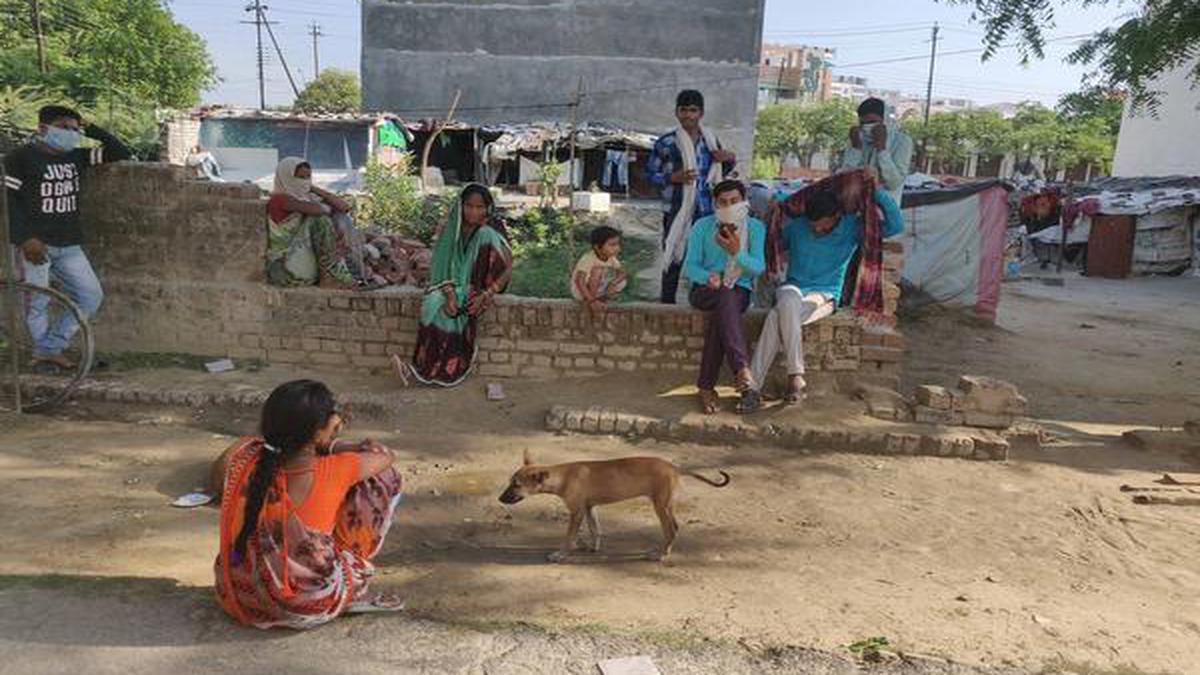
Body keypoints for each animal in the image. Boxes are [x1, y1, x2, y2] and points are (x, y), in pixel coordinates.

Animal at [499, 451, 729, 562]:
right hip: (666, 504)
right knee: (675, 527)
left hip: (660, 505)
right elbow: (595, 529)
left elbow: (569, 537)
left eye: (516, 485)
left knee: (671, 529)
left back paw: (661, 555)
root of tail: (674, 467)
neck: (563, 476)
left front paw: (561, 555)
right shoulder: (589, 508)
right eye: (510, 481)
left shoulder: (576, 512)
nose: (500, 499)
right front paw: (594, 547)